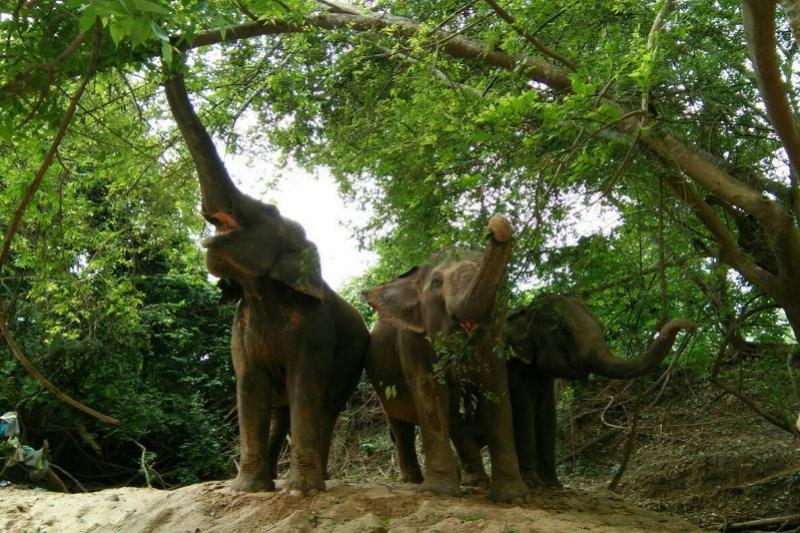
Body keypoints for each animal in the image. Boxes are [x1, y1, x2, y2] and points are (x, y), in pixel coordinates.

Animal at [164, 64, 369, 494]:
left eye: (269, 210)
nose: (173, 50)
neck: (261, 291)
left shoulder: (315, 328)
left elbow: (305, 386)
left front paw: (301, 492)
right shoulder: (242, 328)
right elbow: (249, 387)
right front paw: (246, 490)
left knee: (324, 408)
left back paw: (317, 481)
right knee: (283, 412)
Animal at [363, 216, 530, 503]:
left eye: (502, 289)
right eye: (436, 283)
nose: (497, 225)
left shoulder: (493, 345)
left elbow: (496, 392)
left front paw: (513, 499)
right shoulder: (411, 341)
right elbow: (430, 391)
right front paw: (439, 493)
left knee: (454, 419)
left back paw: (475, 482)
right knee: (402, 428)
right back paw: (413, 481)